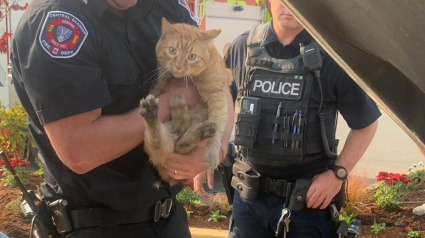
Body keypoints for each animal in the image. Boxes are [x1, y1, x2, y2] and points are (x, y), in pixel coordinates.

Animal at [138, 18, 232, 186]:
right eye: (172, 51)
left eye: (192, 57)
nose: (178, 66)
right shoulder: (161, 81)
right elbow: (159, 87)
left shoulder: (218, 95)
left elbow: (218, 125)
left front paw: (211, 154)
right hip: (159, 136)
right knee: (161, 142)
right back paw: (150, 112)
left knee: (180, 145)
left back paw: (203, 131)